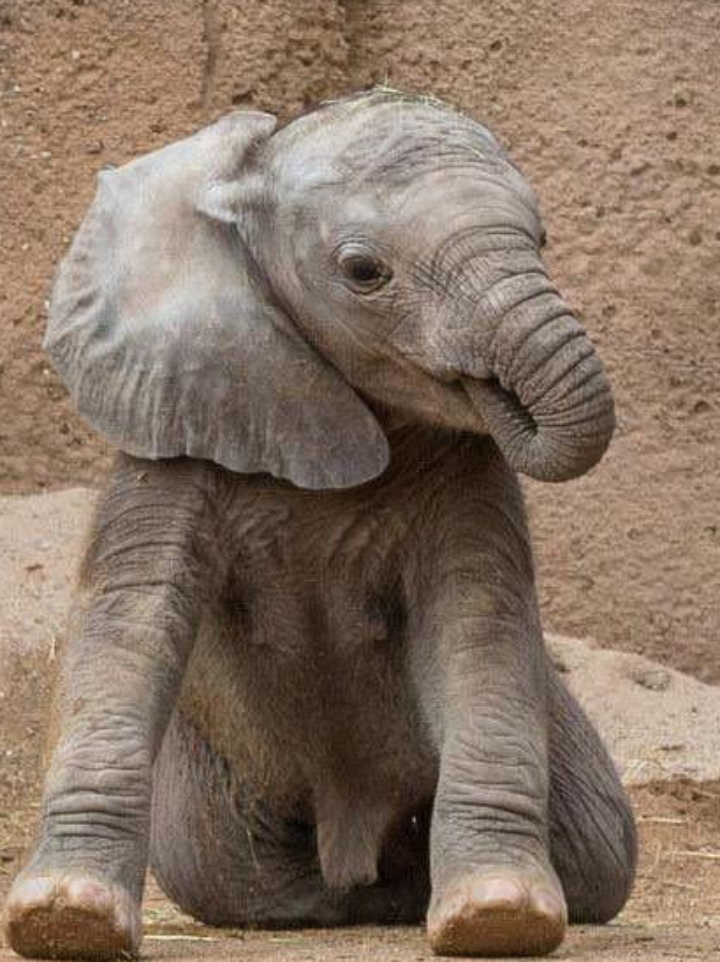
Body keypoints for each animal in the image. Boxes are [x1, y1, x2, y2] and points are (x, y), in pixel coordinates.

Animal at [3, 88, 636, 959]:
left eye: (541, 240)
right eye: (363, 271)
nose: (498, 389)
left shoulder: (470, 471)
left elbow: (478, 625)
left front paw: (497, 916)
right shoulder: (173, 416)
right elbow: (127, 619)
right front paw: (67, 920)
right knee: (230, 875)